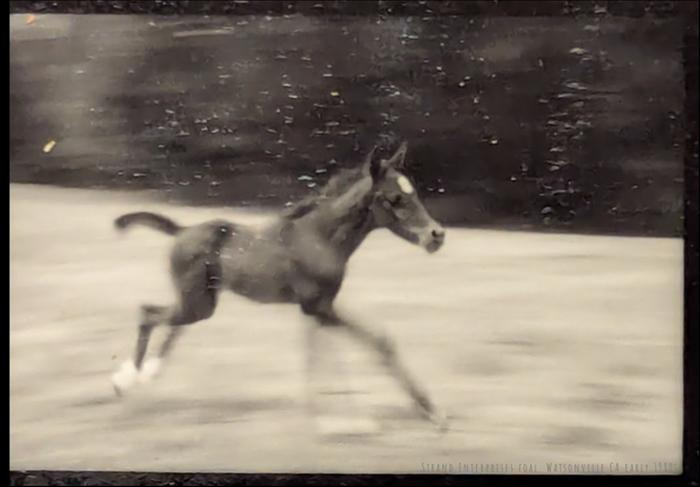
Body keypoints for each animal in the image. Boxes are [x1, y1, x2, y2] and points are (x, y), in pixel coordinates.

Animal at [110, 141, 448, 429]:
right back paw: (126, 382)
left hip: (201, 302)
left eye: (414, 193)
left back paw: (145, 373)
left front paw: (334, 420)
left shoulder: (317, 310)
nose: (436, 235)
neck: (320, 238)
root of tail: (182, 230)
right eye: (394, 199)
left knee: (164, 319)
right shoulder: (318, 308)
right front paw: (429, 413)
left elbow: (321, 357)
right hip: (197, 303)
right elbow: (375, 343)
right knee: (149, 314)